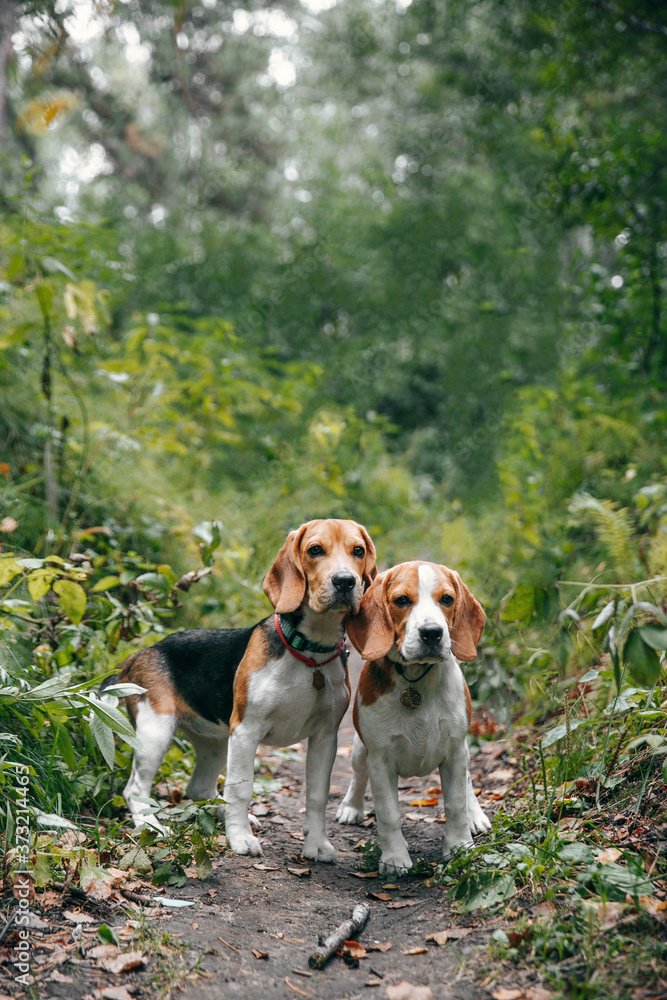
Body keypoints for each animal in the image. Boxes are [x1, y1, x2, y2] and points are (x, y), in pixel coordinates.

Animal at [103, 516, 376, 860]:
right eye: (315, 550)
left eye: (358, 551)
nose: (345, 582)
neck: (310, 653)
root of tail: (143, 651)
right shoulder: (246, 731)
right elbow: (242, 788)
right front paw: (240, 838)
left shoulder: (325, 736)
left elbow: (317, 794)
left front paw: (317, 844)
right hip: (157, 731)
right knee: (136, 788)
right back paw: (151, 824)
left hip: (216, 742)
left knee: (200, 788)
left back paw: (221, 812)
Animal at [340, 564, 490, 876]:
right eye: (401, 600)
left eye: (446, 599)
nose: (432, 633)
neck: (416, 679)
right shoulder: (380, 760)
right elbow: (388, 814)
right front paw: (394, 858)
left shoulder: (455, 752)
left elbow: (456, 804)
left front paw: (459, 847)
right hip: (360, 751)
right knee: (358, 775)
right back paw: (351, 806)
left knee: (468, 782)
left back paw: (476, 814)